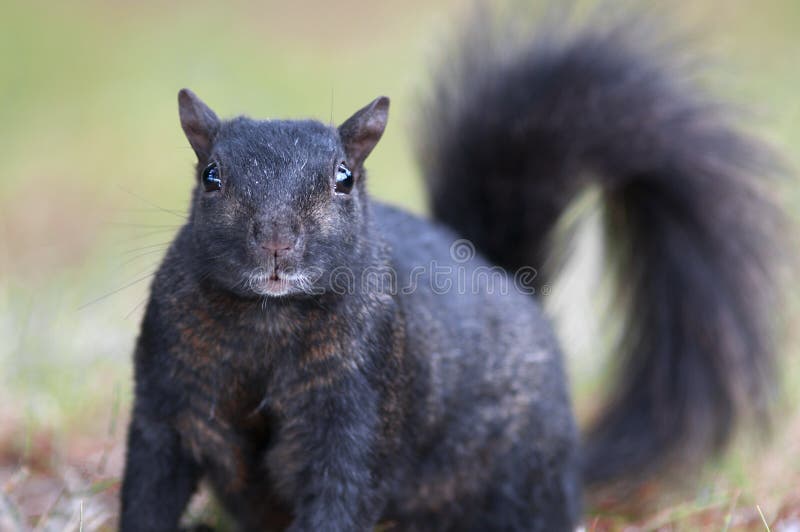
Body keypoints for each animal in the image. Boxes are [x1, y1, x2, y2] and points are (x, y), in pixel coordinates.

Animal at [119, 7, 783, 532]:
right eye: (211, 176)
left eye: (343, 178)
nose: (277, 241)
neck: (268, 320)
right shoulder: (165, 403)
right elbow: (148, 490)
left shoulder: (361, 410)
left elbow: (342, 495)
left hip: (522, 481)